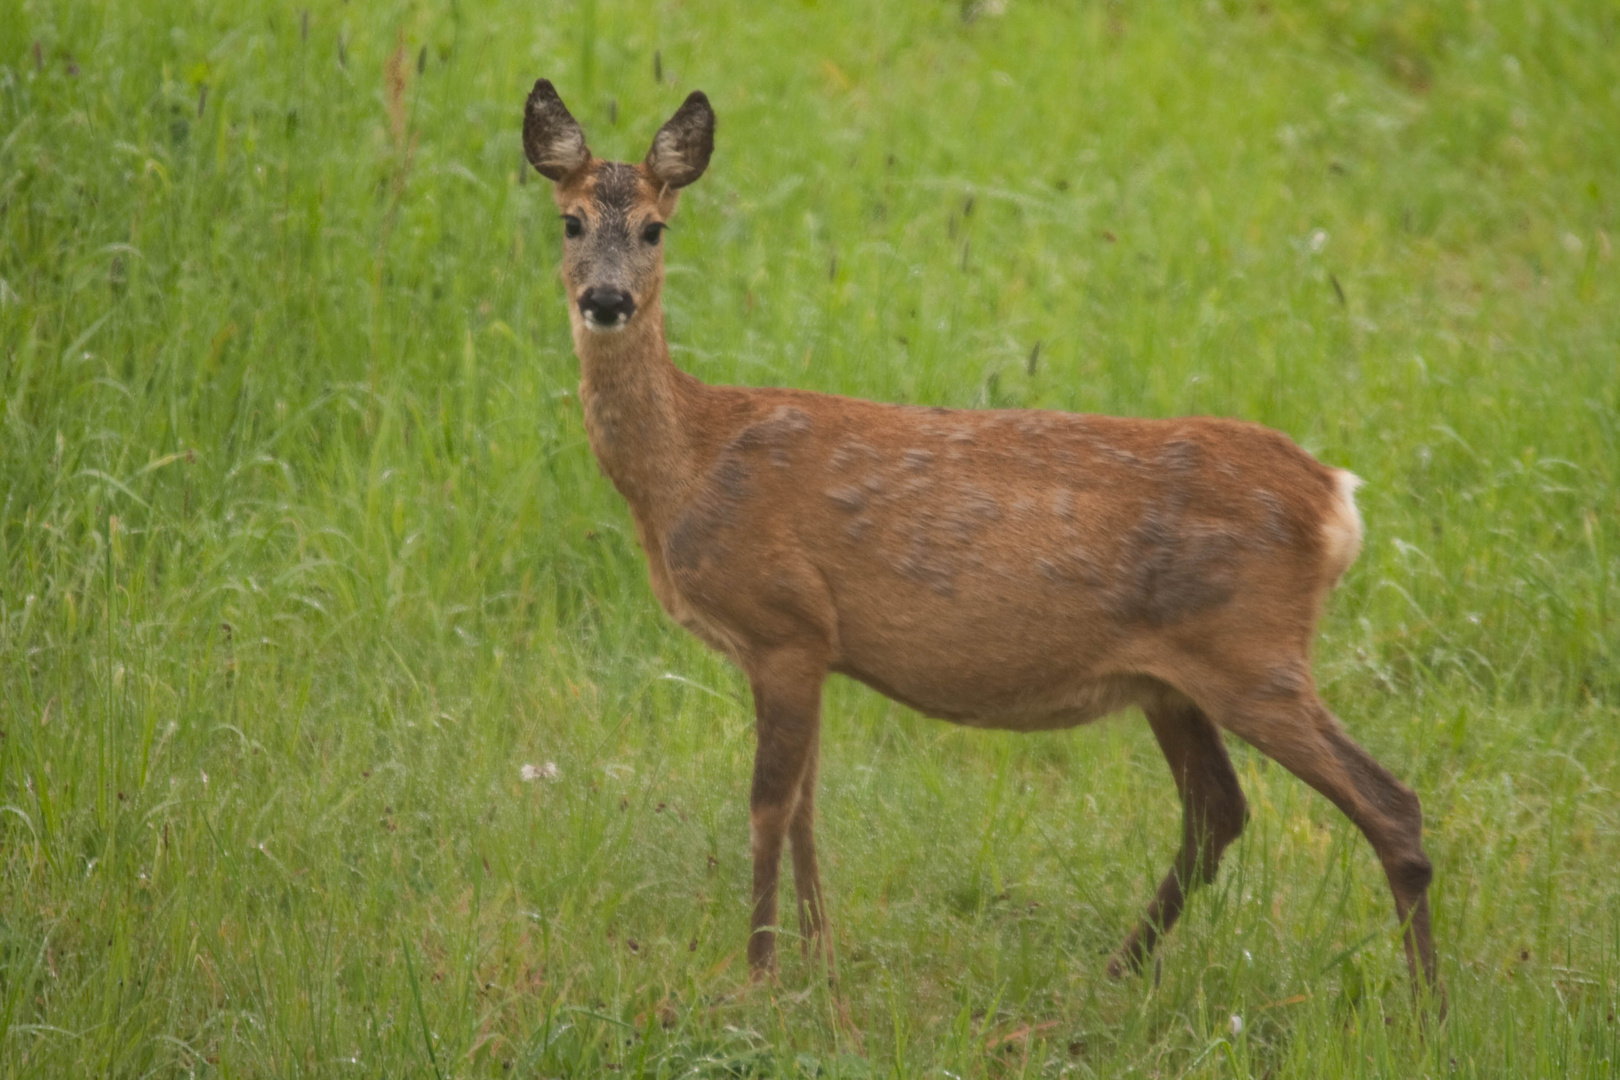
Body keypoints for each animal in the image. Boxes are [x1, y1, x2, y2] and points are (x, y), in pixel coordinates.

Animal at [521, 80, 1445, 1010]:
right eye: (569, 221)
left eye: (654, 228)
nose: (607, 300)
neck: (690, 466)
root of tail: (1336, 501)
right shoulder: (810, 647)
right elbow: (809, 805)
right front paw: (823, 960)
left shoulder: (784, 623)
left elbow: (767, 806)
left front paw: (759, 975)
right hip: (1173, 681)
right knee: (1219, 810)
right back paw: (1117, 972)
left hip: (1252, 653)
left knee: (1387, 803)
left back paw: (1427, 1009)